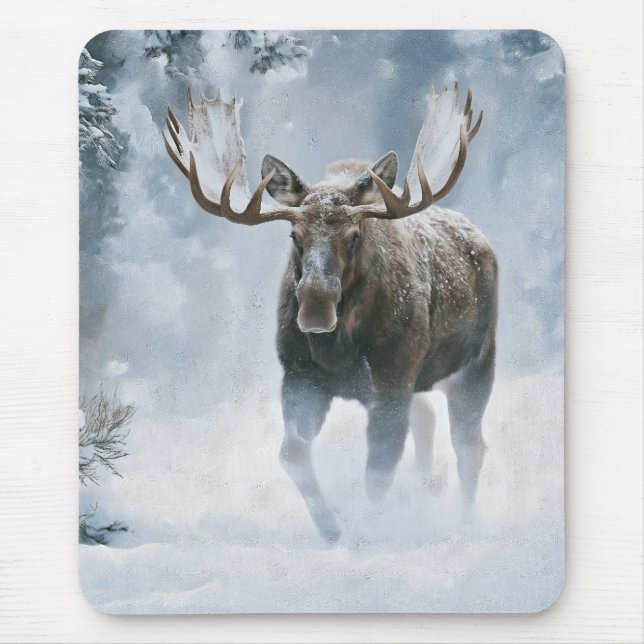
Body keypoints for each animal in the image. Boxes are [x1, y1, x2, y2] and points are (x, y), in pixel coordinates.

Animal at [163, 83, 497, 543]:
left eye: (355, 235)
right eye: (293, 235)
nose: (315, 309)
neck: (340, 349)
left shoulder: (392, 377)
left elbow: (379, 469)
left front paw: (364, 532)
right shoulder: (300, 374)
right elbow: (292, 452)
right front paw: (332, 526)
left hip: (476, 362)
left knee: (469, 446)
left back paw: (463, 524)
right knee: (428, 418)